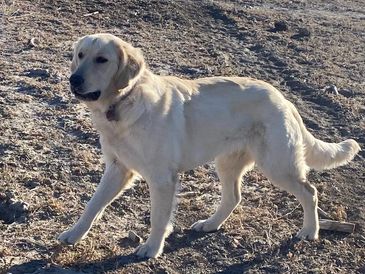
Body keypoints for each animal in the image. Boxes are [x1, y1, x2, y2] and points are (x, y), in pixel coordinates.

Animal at [58, 33, 360, 258]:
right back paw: (210, 224)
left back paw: (310, 231)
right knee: (233, 197)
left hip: (277, 165)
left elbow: (158, 218)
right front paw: (74, 234)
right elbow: (92, 205)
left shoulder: (162, 179)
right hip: (227, 163)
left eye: (102, 60)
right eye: (80, 55)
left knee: (310, 192)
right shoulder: (118, 169)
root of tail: (283, 99)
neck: (124, 101)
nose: (74, 80)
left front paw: (152, 248)